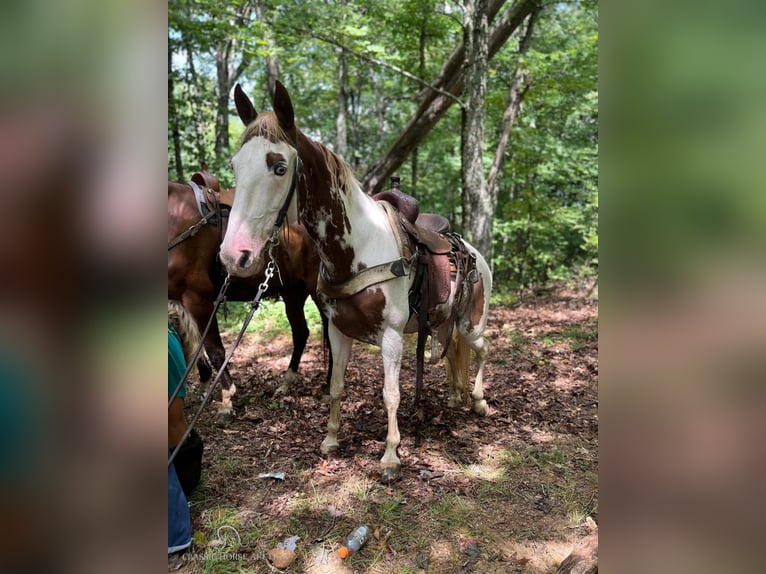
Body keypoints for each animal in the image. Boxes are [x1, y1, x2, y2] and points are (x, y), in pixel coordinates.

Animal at [168, 166, 330, 424]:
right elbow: (195, 347)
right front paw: (204, 384)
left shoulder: (197, 298)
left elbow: (213, 349)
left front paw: (226, 400)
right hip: (293, 293)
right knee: (301, 333)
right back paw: (286, 383)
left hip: (317, 291)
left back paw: (327, 388)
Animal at [219, 81, 496, 482]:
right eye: (236, 166)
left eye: (279, 167)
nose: (232, 254)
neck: (357, 248)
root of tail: (474, 253)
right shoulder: (338, 330)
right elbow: (336, 386)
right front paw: (331, 440)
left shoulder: (391, 337)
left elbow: (391, 394)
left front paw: (391, 457)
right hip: (444, 323)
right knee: (450, 353)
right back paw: (454, 396)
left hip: (470, 323)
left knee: (483, 349)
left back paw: (478, 401)